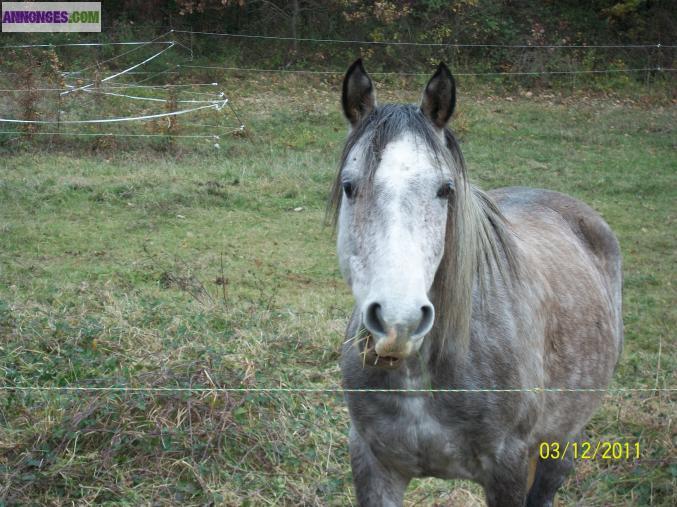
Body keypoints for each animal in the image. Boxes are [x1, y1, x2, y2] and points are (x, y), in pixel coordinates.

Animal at [328, 60, 624, 507]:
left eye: (445, 189)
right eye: (349, 186)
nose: (399, 322)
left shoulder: (508, 468)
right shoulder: (372, 463)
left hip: (560, 442)